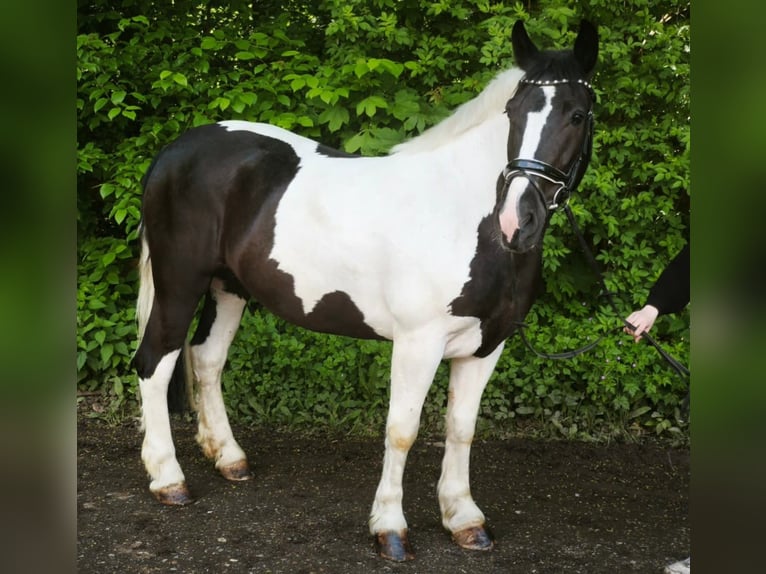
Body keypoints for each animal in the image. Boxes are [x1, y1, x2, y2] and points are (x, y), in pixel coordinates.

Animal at [133, 19, 598, 561]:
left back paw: (229, 458)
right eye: (514, 113)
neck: (466, 216)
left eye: (577, 115)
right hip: (179, 284)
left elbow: (461, 428)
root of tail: (175, 151)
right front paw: (390, 529)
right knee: (155, 364)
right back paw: (169, 479)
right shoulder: (418, 343)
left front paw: (463, 518)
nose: (517, 220)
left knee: (206, 360)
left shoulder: (487, 345)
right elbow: (402, 431)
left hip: (228, 288)